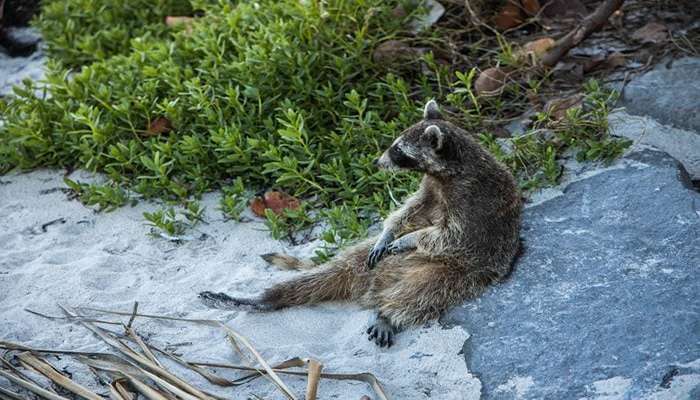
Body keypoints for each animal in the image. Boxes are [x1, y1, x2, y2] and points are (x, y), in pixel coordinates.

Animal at [200, 101, 524, 346]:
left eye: (398, 151)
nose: (377, 162)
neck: (453, 168)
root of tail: (375, 287)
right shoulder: (431, 187)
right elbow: (410, 210)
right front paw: (390, 232)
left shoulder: (474, 203)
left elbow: (451, 235)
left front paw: (409, 239)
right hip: (364, 262)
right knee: (327, 274)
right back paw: (265, 299)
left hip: (457, 272)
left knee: (421, 293)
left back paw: (387, 313)